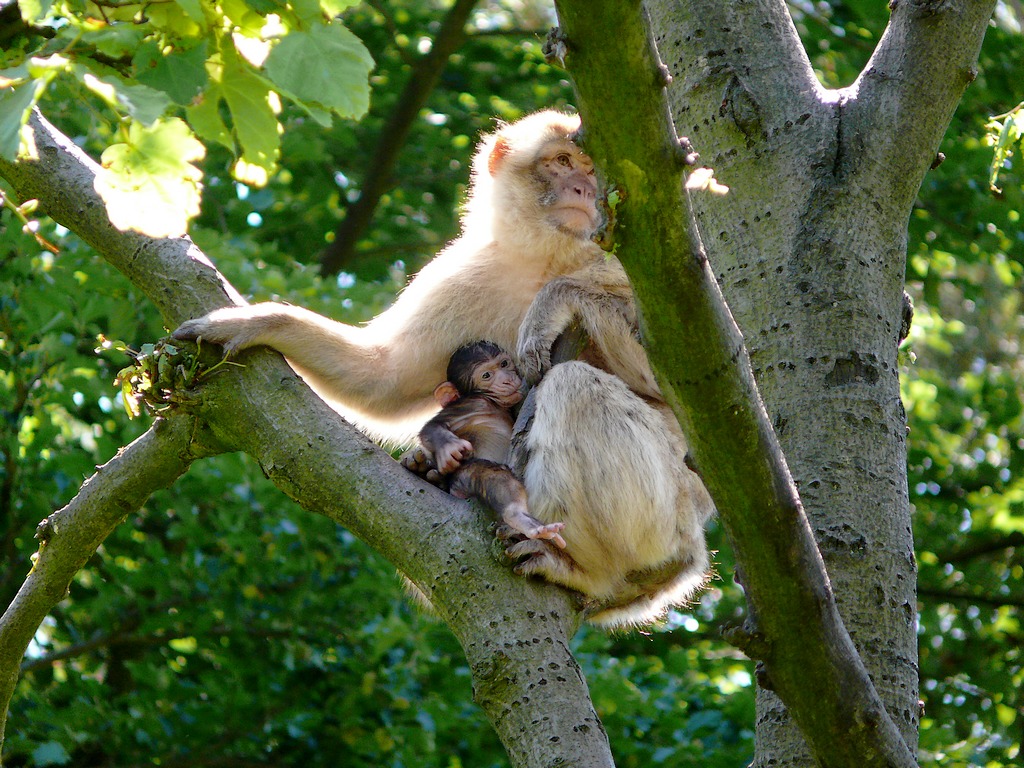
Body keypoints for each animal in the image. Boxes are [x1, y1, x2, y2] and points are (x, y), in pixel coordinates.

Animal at [403, 339, 569, 548]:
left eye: (504, 364)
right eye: (486, 375)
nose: (507, 379)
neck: (494, 402)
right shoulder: (473, 403)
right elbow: (433, 426)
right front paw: (448, 448)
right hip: (465, 476)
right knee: (494, 477)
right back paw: (520, 518)